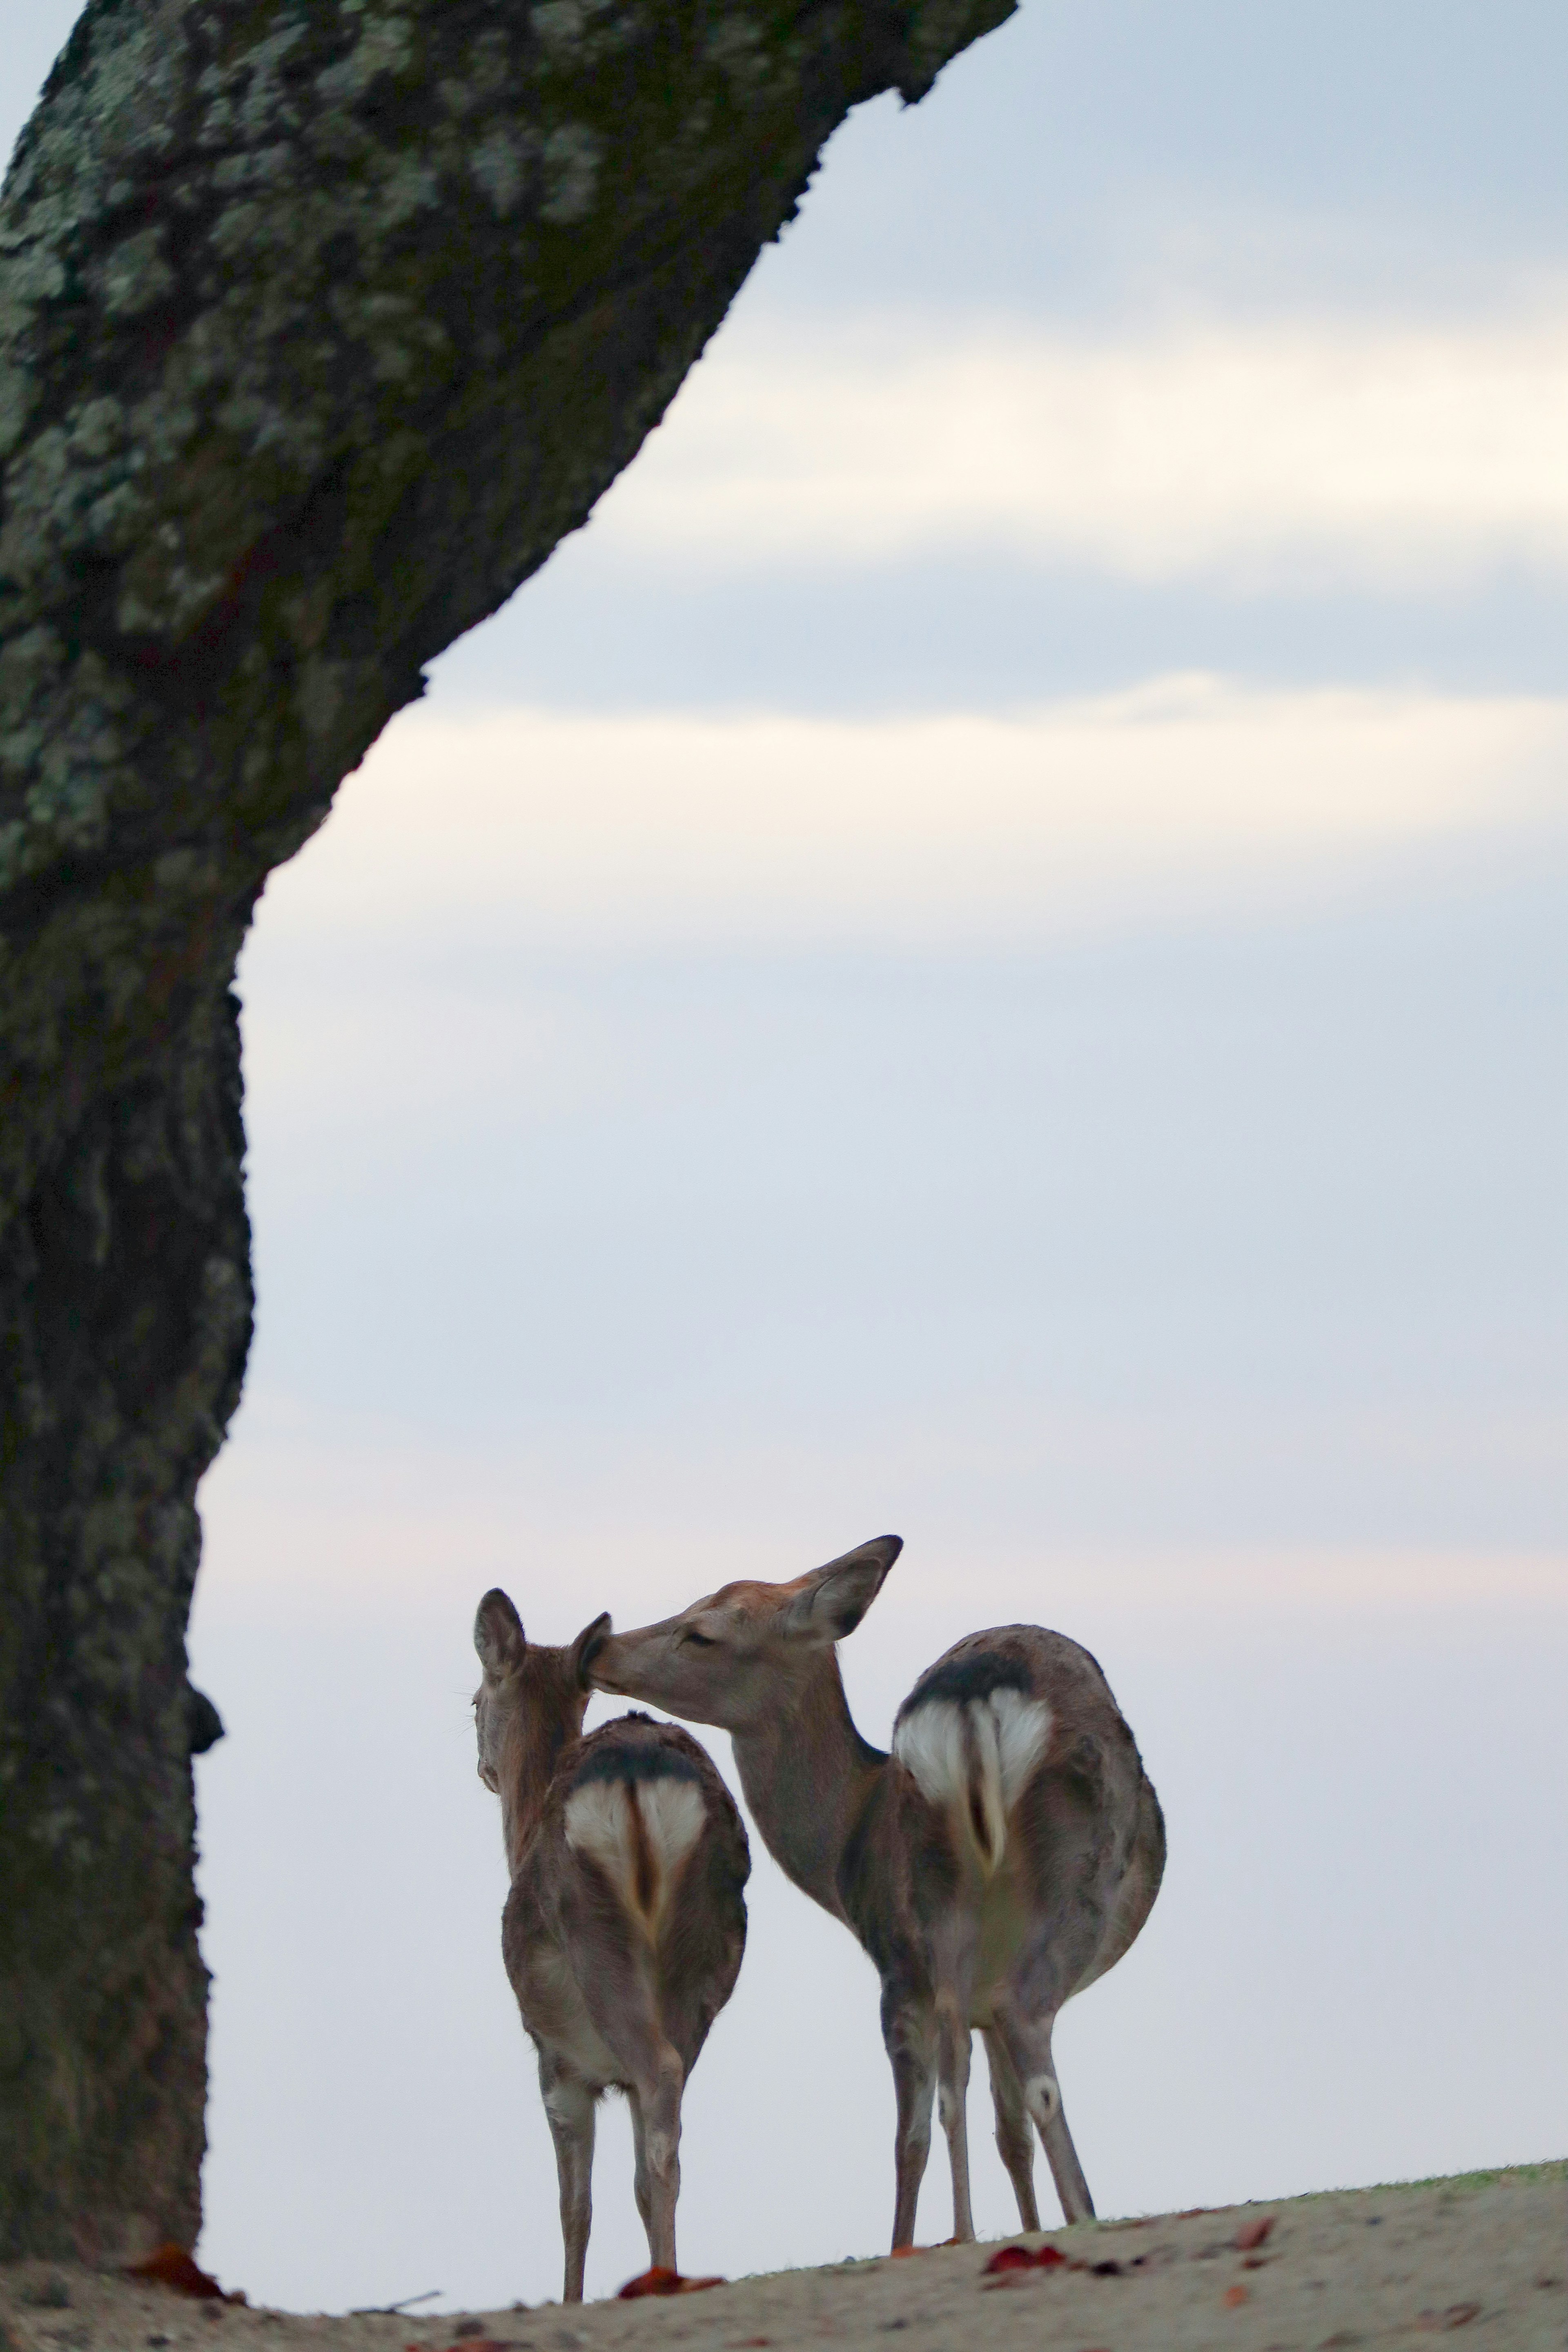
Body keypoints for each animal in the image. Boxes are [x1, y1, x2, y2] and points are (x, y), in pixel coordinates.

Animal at [474, 1590, 752, 2305]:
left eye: (474, 1700)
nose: (486, 1769)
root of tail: (636, 1771)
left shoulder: (559, 2063)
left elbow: (574, 2206)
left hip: (593, 1937)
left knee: (658, 2076)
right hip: (704, 1955)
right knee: (668, 2124)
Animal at [585, 1533, 1166, 2248]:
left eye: (702, 1631)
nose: (600, 1646)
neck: (846, 1846)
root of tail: (973, 1706)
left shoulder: (909, 1956)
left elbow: (988, 2127)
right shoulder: (928, 1967)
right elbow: (996, 2127)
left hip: (947, 1910)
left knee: (959, 2081)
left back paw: (1010, 2224)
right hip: (1017, 1897)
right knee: (1004, 2050)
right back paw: (1051, 2218)